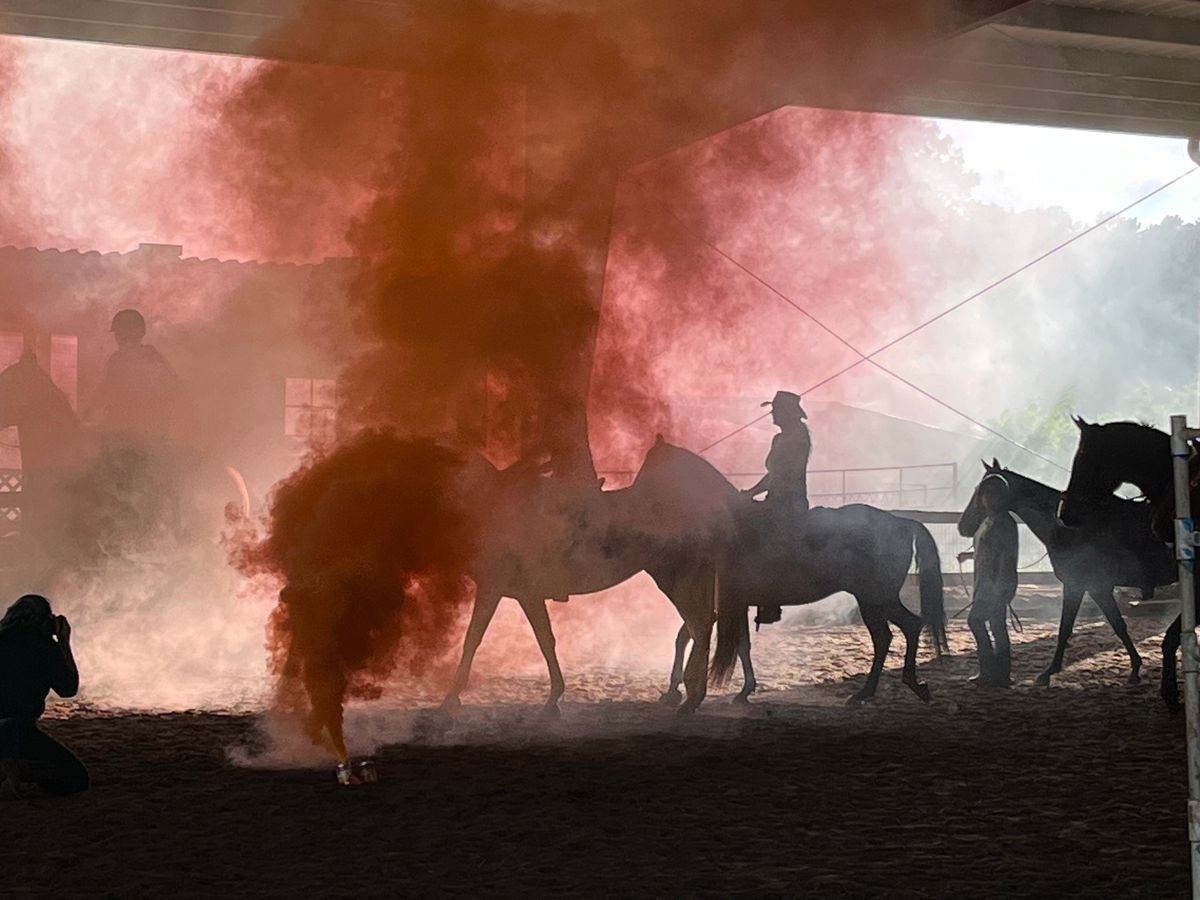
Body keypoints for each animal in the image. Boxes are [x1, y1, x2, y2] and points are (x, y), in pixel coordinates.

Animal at [964, 460, 1171, 686]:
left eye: (980, 490)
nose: (962, 526)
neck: (1067, 527)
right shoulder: (1087, 588)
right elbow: (1105, 626)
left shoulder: (1084, 586)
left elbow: (1076, 629)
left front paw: (1047, 673)